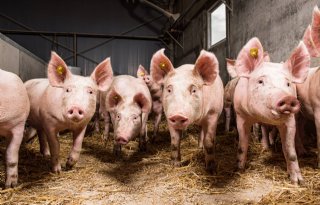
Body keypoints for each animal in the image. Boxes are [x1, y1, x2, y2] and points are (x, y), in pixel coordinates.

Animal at [232, 37, 310, 185]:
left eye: (288, 83)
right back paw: (266, 147)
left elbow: (290, 152)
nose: (287, 98)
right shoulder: (241, 115)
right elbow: (242, 145)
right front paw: (238, 169)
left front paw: (298, 182)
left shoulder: (290, 120)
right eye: (260, 81)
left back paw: (302, 152)